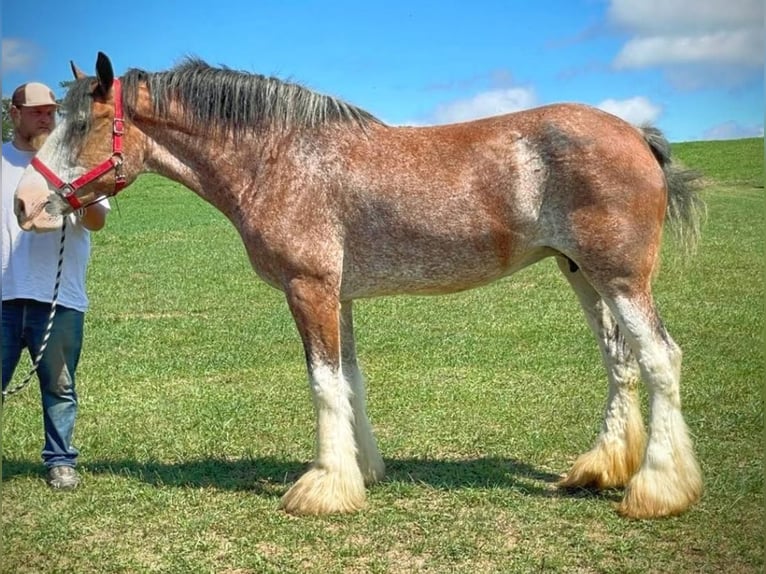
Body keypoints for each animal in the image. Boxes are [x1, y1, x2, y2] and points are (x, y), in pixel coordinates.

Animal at [13, 54, 708, 520]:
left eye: (84, 125)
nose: (24, 205)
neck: (280, 157)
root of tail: (635, 134)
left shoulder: (310, 288)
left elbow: (323, 384)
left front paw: (323, 488)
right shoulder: (338, 296)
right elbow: (349, 381)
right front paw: (362, 471)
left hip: (620, 279)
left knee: (660, 359)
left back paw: (657, 490)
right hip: (582, 275)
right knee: (619, 364)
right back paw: (598, 469)